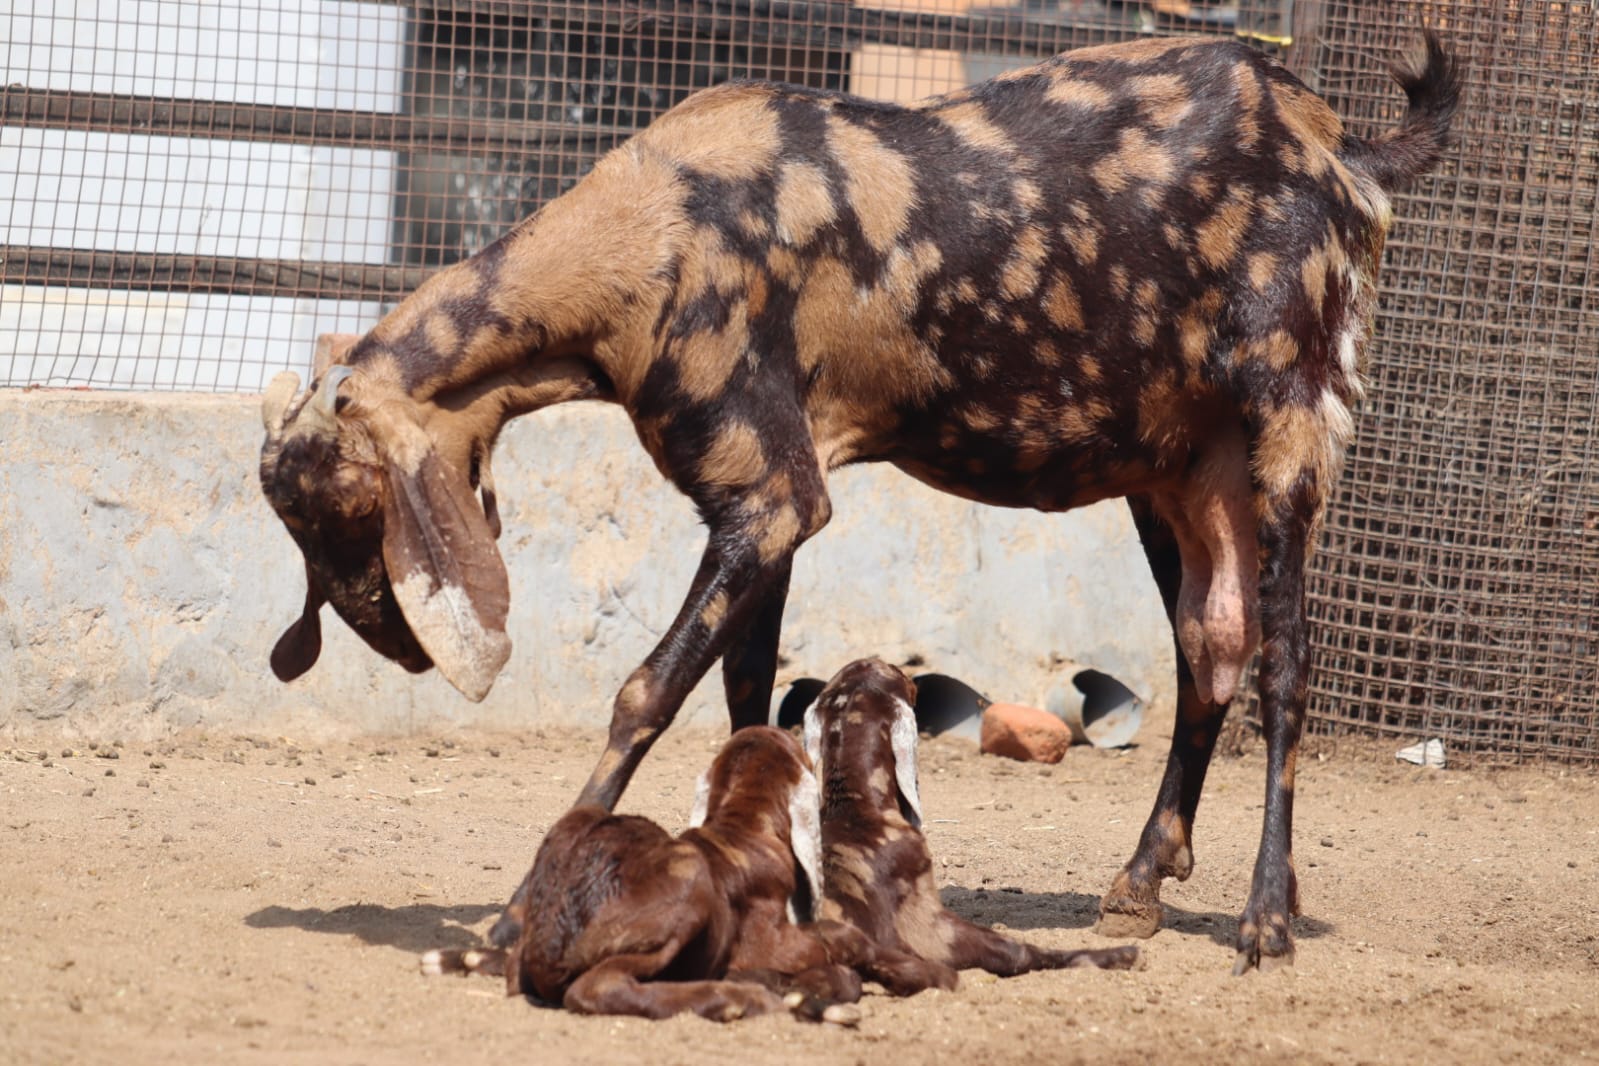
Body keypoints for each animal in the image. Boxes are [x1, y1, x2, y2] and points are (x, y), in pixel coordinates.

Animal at [422, 725, 951, 1020]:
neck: (743, 826)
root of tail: (552, 944)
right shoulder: (769, 940)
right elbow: (846, 939)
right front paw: (926, 973)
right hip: (688, 881)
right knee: (597, 989)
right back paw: (733, 999)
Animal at [803, 657, 1141, 980]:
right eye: (896, 673)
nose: (913, 680)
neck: (854, 809)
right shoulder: (930, 925)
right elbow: (1015, 951)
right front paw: (1120, 954)